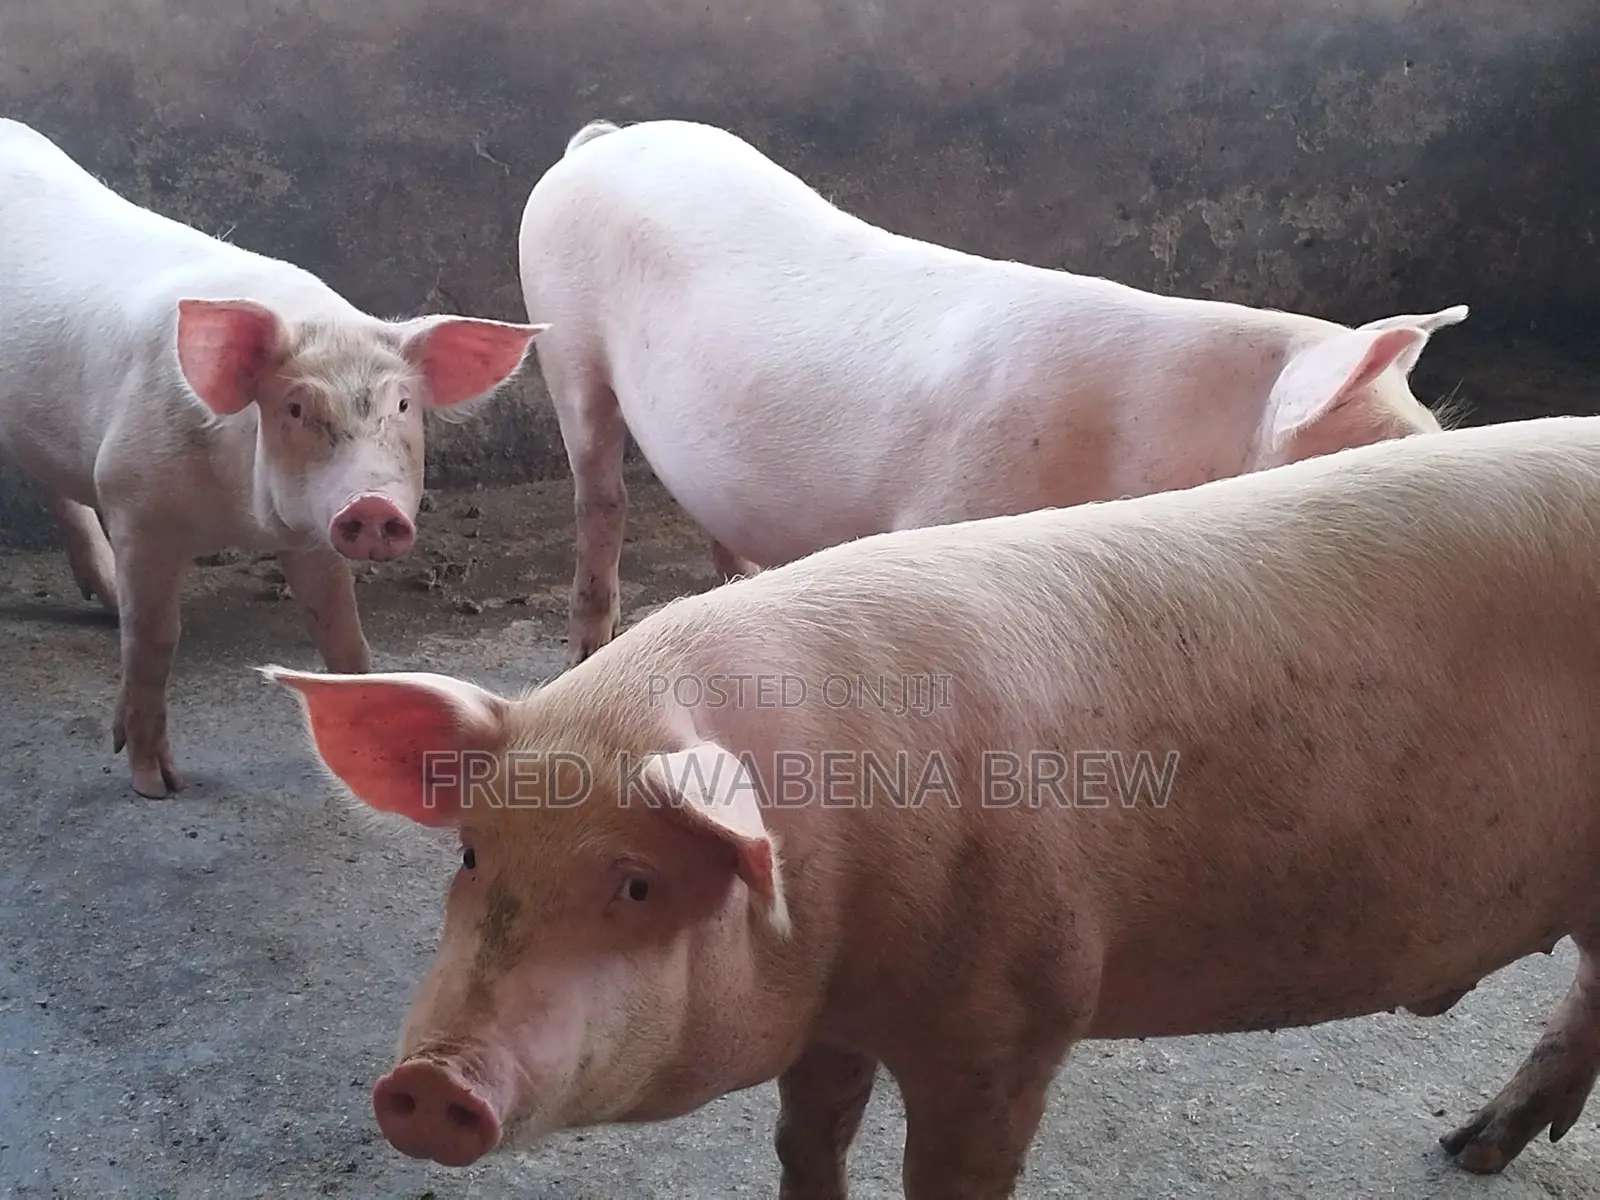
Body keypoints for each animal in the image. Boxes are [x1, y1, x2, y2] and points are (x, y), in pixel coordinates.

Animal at [0, 117, 544, 798]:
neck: (241, 520)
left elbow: (343, 634)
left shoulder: (312, 533)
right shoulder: (135, 504)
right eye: (294, 408)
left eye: (401, 405)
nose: (371, 506)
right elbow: (154, 639)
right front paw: (158, 784)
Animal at [269, 411, 1599, 1198]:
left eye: (636, 882)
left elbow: (949, 1172)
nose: (426, 1082)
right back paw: (1474, 1150)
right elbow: (806, 1135)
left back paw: (1468, 1149)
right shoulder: (833, 1016)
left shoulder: (1015, 1013)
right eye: (471, 857)